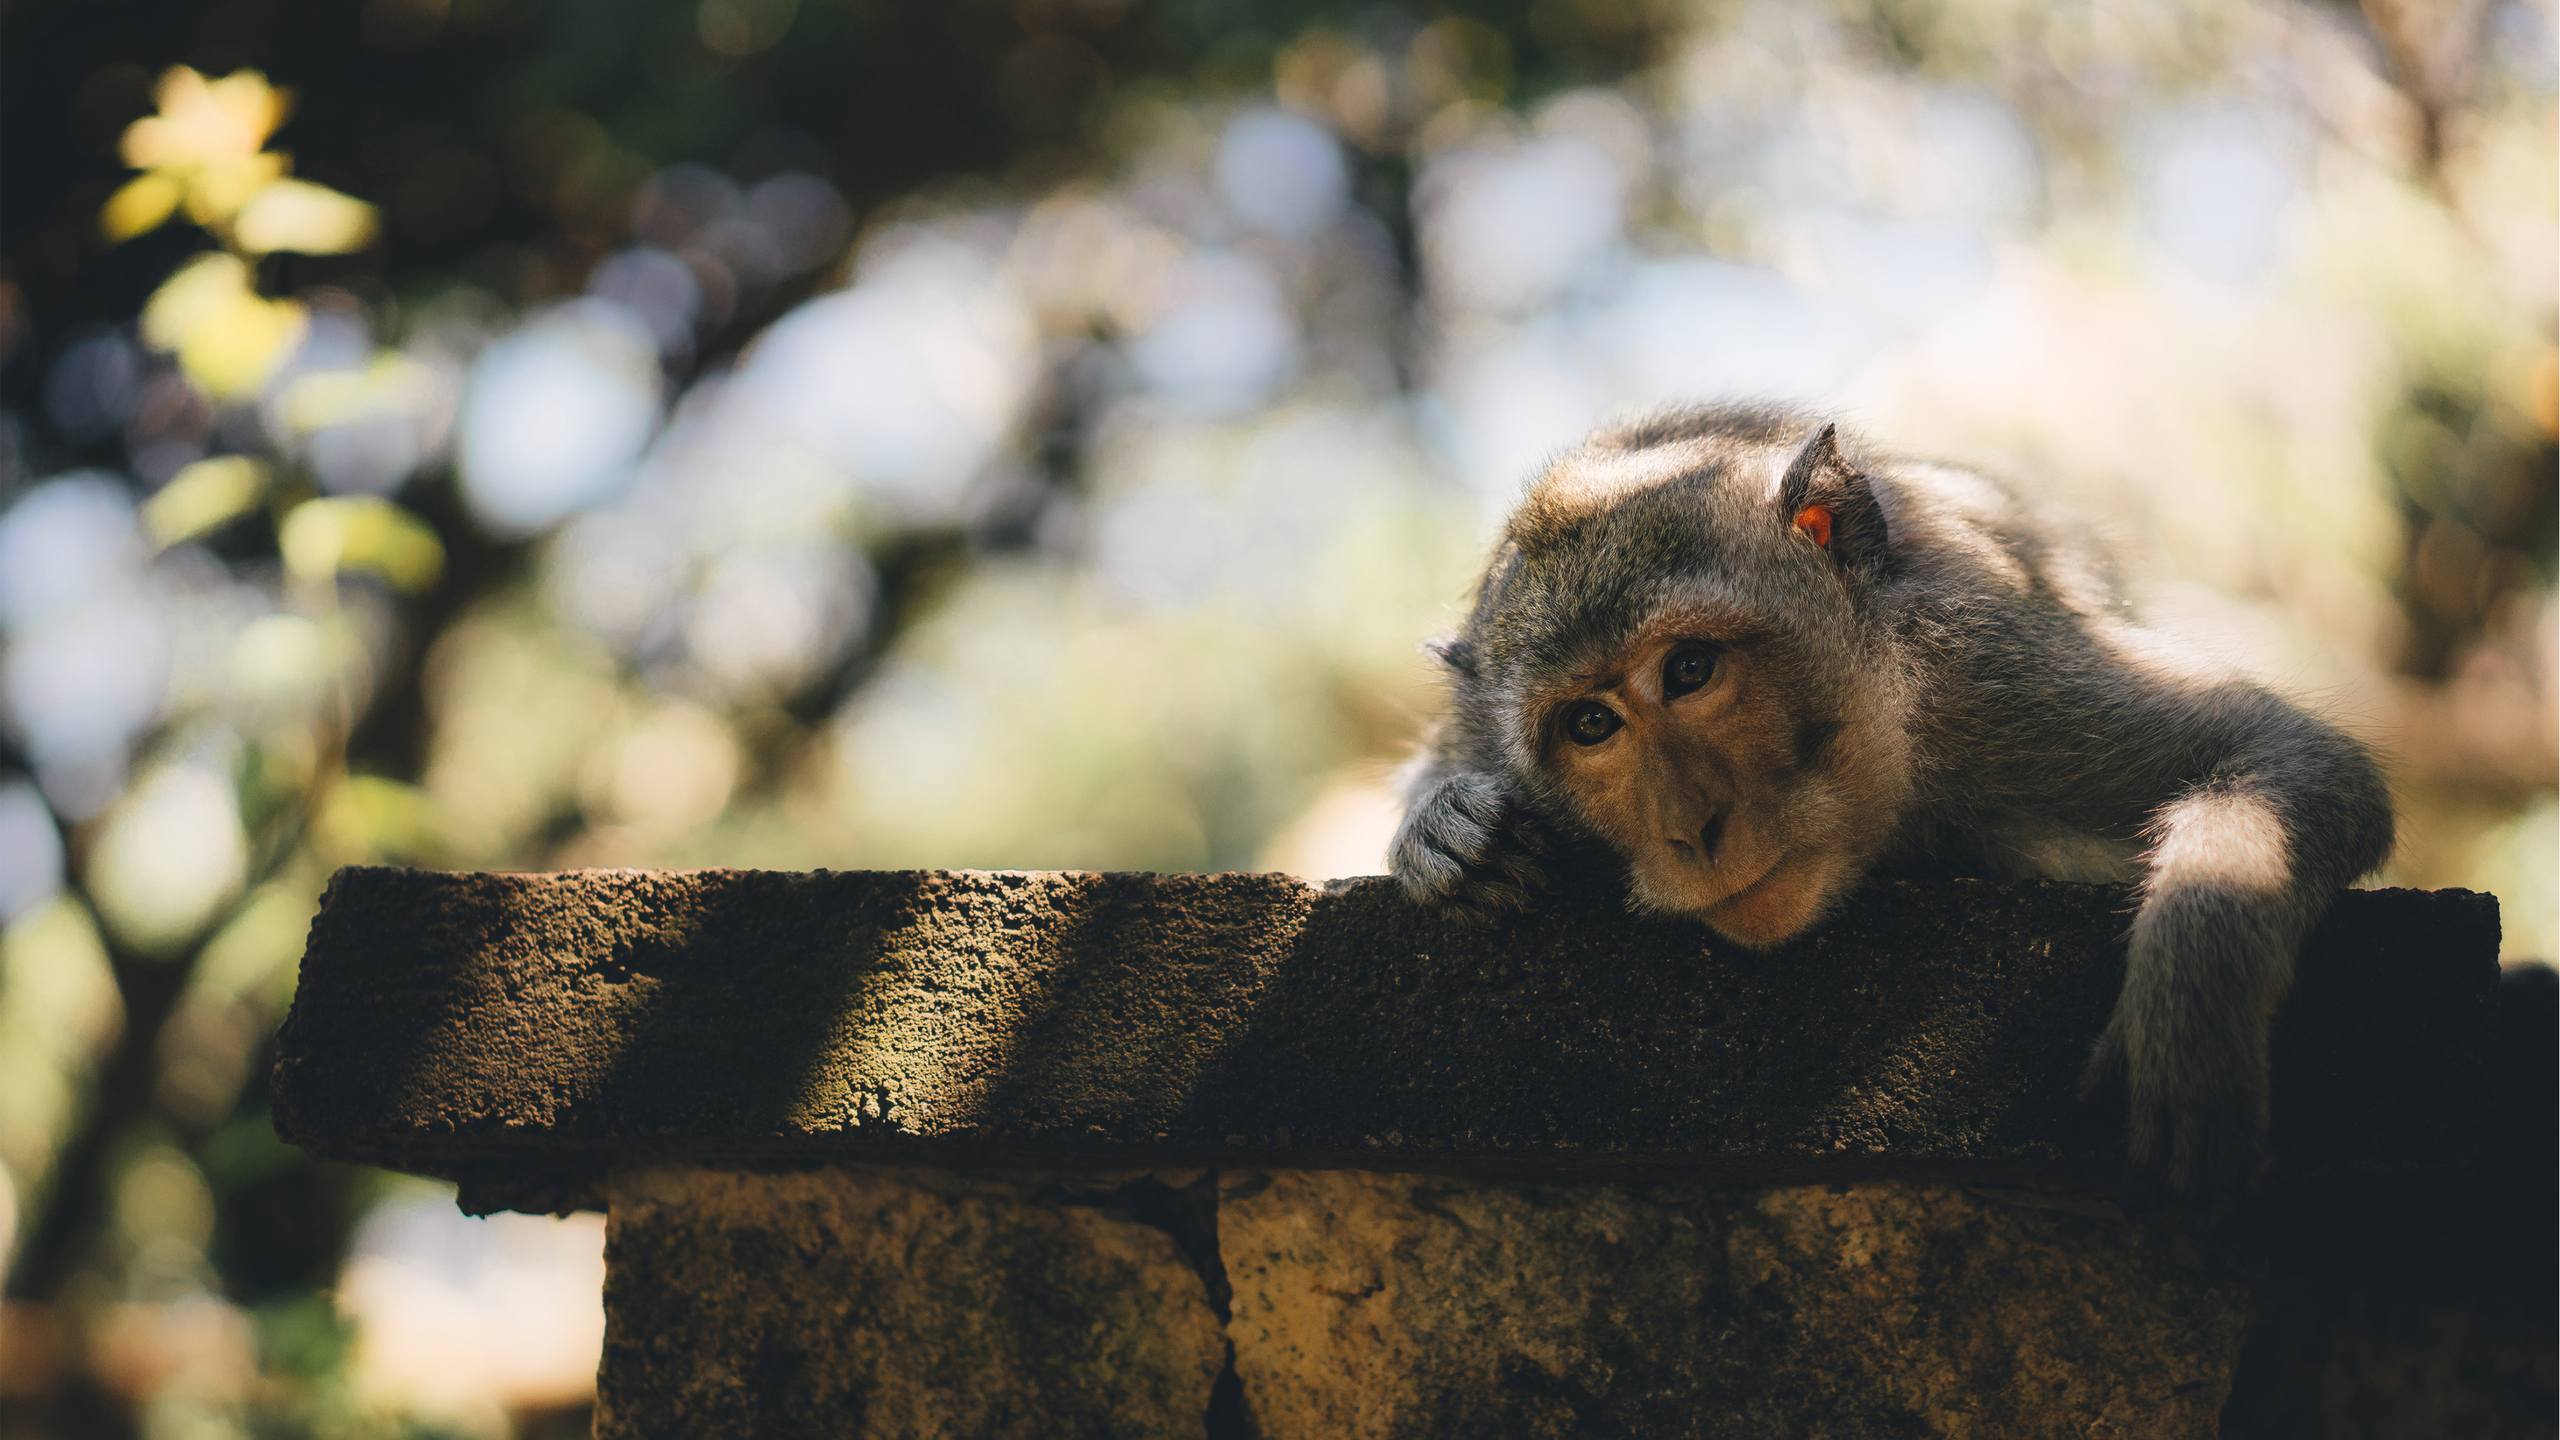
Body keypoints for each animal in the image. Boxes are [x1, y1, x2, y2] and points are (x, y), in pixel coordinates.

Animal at [1392, 397, 2385, 1194]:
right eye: (1591, 725)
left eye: (1690, 670)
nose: (1690, 829)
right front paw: (1448, 837)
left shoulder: (1987, 673)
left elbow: (2290, 754)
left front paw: (2192, 1010)